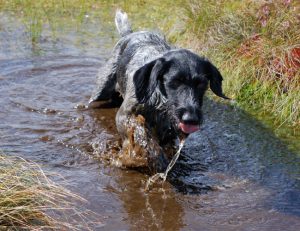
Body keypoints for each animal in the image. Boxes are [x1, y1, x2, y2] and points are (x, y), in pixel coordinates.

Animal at [90, 10, 229, 173]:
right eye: (174, 81)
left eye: (201, 84)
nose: (191, 119)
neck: (160, 103)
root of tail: (128, 34)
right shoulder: (124, 116)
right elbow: (142, 133)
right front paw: (153, 157)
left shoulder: (169, 131)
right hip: (101, 90)